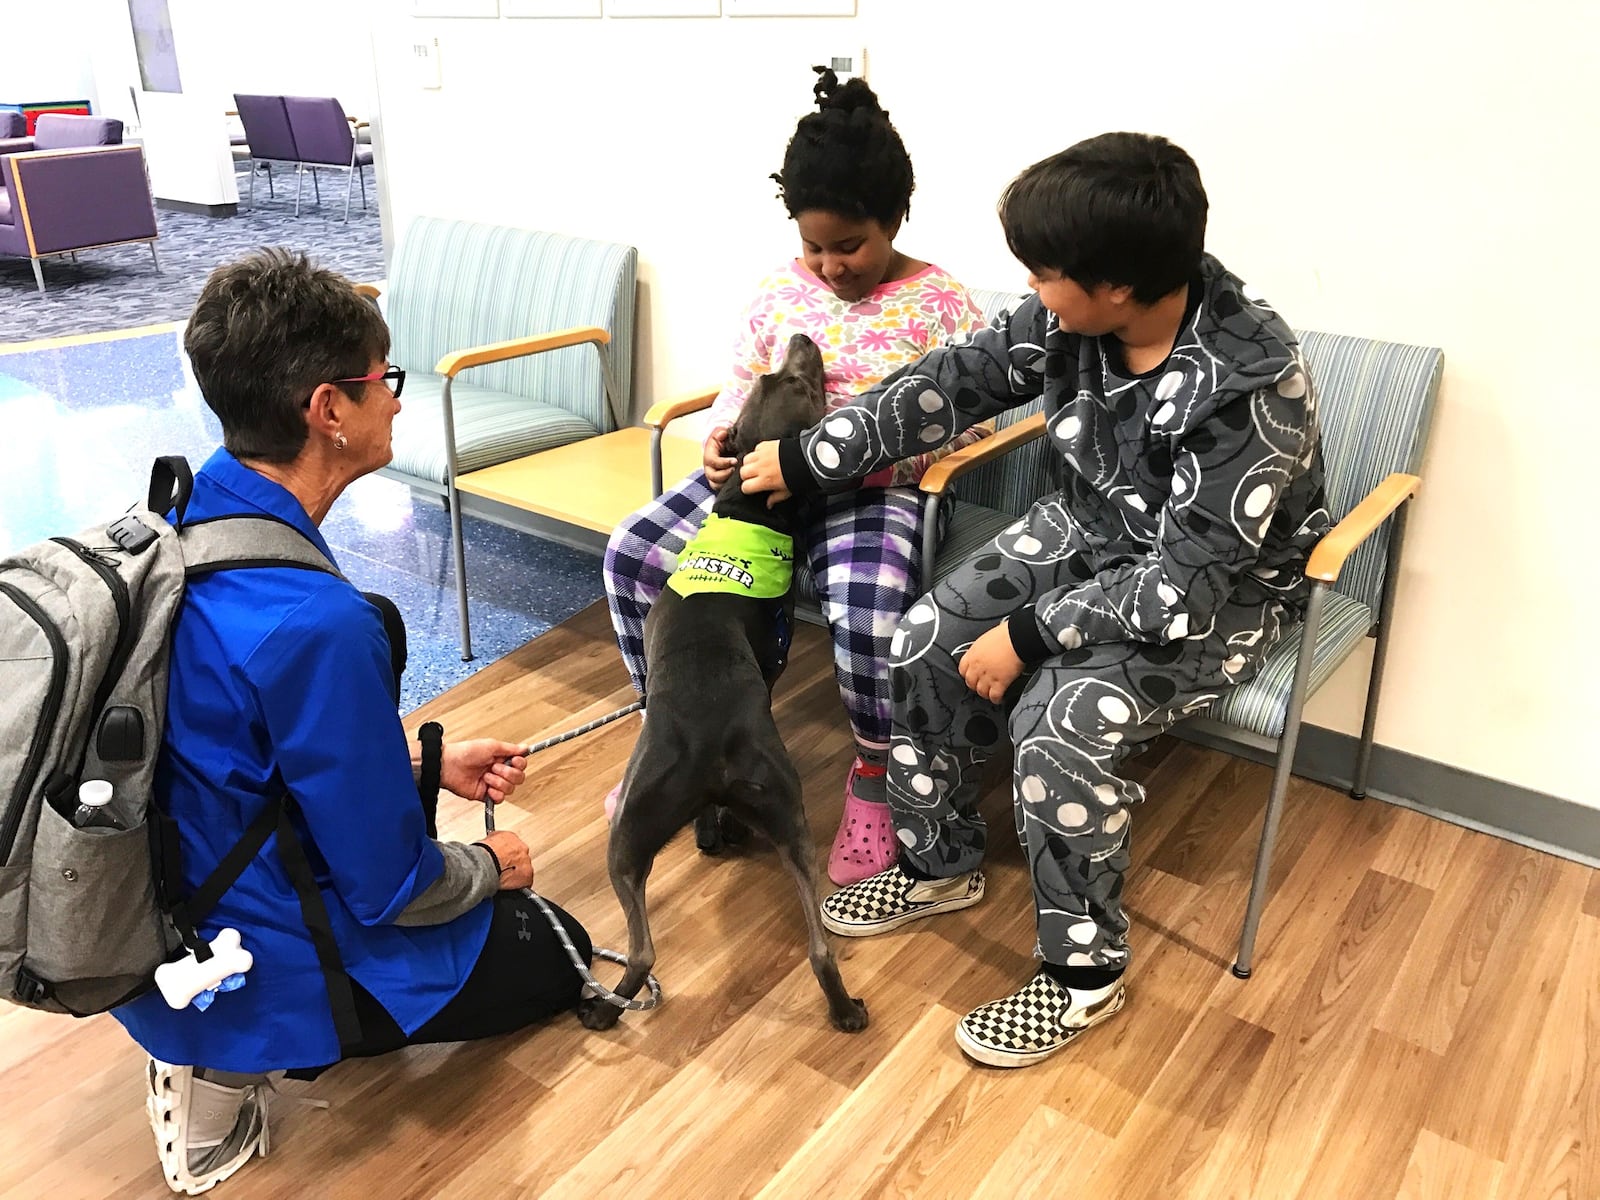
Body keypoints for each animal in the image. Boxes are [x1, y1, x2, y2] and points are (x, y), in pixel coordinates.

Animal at [582, 336, 870, 1036]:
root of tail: (710, 750)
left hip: (633, 831)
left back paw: (608, 1004)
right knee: (810, 944)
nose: (801, 340)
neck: (745, 511)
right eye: (797, 382)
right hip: (773, 812)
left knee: (647, 947)